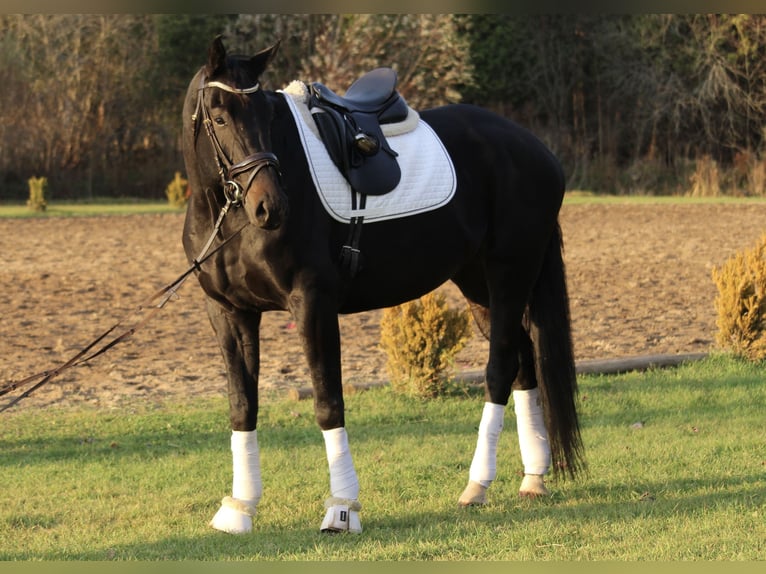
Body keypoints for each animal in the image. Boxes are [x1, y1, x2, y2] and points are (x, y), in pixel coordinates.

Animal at [183, 38, 584, 536]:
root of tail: (537, 149)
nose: (270, 207)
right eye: (220, 117)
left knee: (499, 370)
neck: (226, 217)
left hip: (511, 272)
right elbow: (242, 407)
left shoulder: (311, 303)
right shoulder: (229, 312)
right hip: (481, 285)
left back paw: (476, 486)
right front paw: (240, 507)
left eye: (267, 116)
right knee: (522, 360)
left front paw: (341, 508)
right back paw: (532, 478)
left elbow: (328, 402)